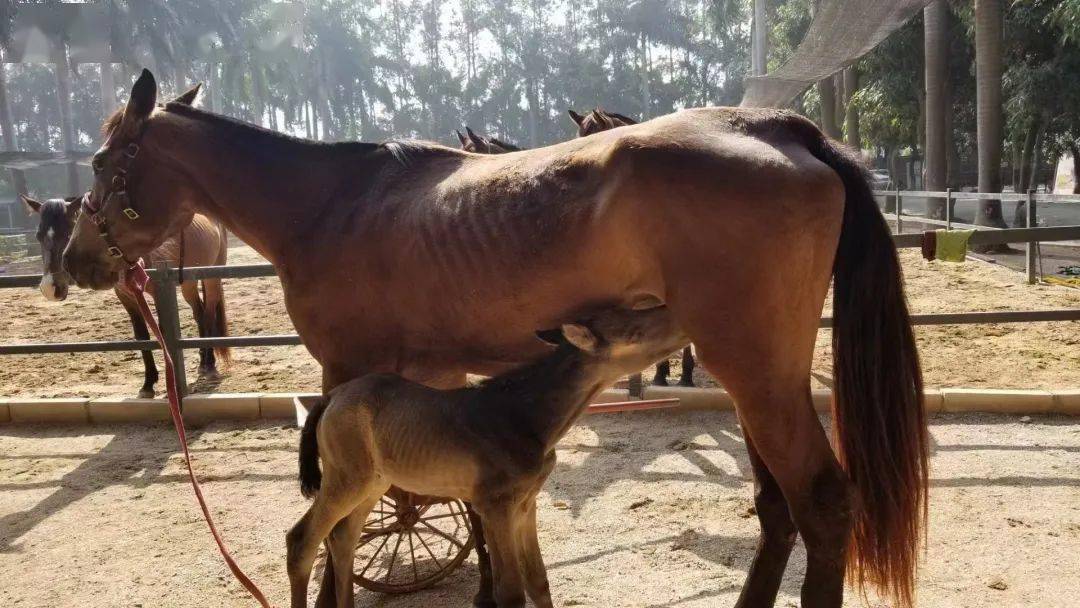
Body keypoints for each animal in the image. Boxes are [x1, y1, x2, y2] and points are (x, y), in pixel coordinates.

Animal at [24, 192, 230, 397]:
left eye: (68, 233)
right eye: (38, 236)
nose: (50, 287)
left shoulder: (158, 292)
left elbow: (163, 333)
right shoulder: (126, 296)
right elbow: (141, 336)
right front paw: (148, 383)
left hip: (211, 276)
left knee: (207, 314)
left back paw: (209, 365)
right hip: (188, 282)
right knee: (199, 314)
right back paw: (203, 359)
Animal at [289, 306, 682, 604]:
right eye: (633, 331)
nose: (674, 312)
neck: (525, 416)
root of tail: (330, 398)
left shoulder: (524, 504)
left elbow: (538, 581)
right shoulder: (495, 506)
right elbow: (510, 592)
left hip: (373, 483)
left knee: (342, 539)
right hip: (346, 479)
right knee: (303, 540)